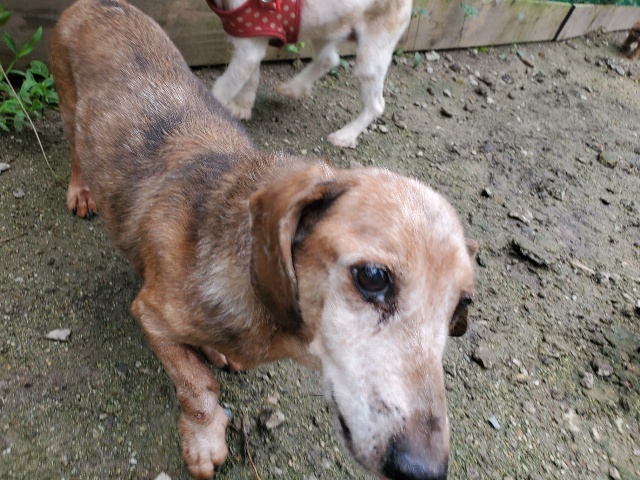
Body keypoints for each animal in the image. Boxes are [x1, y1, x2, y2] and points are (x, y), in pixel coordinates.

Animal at [207, 0, 413, 148]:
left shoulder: (249, 46)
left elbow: (224, 87)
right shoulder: (251, 35)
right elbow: (250, 78)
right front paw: (242, 107)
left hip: (372, 53)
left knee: (376, 105)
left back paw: (345, 136)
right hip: (326, 27)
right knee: (329, 59)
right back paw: (294, 88)